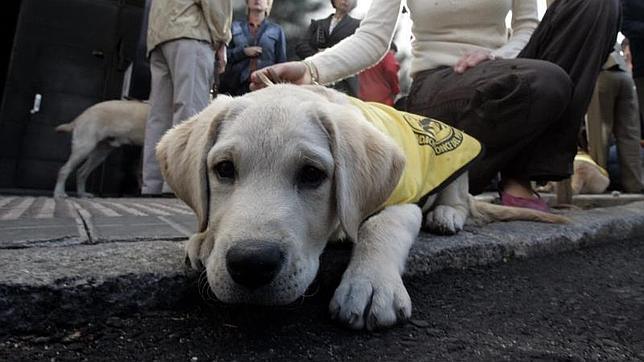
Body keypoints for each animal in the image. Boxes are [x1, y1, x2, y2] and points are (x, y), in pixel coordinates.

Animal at [155, 85, 564, 330]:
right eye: (224, 169)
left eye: (312, 174)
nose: (252, 264)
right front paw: (204, 240)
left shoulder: (403, 201)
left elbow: (378, 227)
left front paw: (370, 284)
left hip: (458, 167)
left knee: (459, 198)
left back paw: (446, 215)